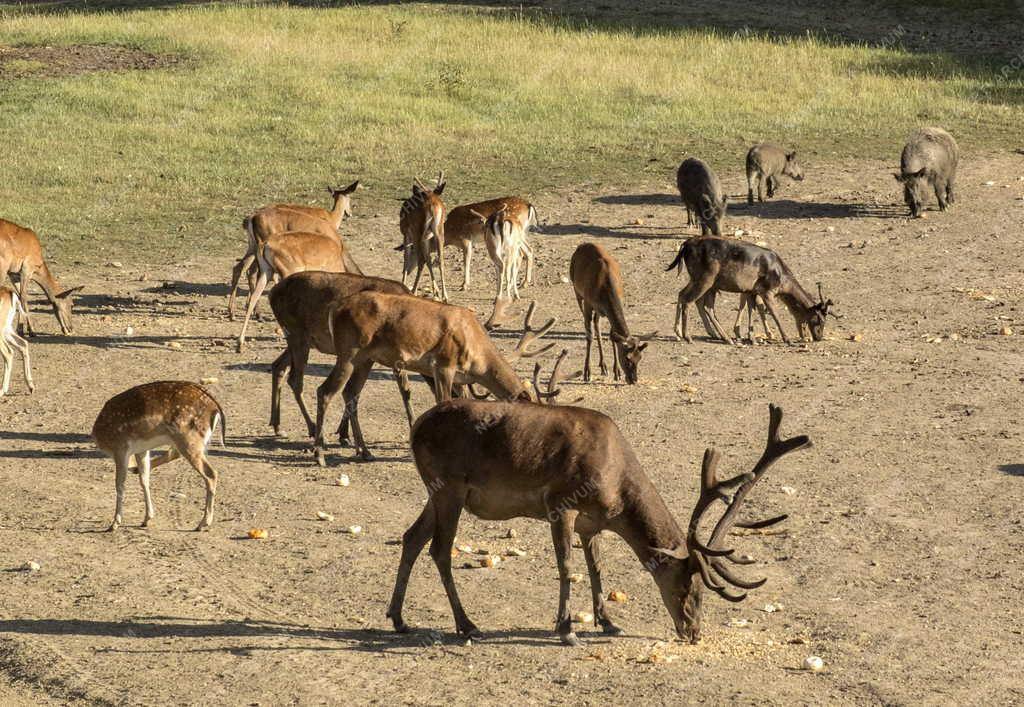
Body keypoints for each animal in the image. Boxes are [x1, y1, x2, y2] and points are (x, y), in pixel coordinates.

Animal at [92, 379, 226, 528]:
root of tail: (214, 407)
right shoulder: (141, 449)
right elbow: (144, 480)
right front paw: (147, 519)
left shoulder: (120, 448)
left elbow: (120, 484)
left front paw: (114, 524)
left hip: (189, 439)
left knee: (210, 473)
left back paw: (203, 523)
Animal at [227, 180, 360, 317]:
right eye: (350, 197)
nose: (349, 213)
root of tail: (252, 217)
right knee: (255, 272)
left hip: (253, 248)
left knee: (241, 268)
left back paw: (235, 311)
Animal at [387, 401, 811, 643]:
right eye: (689, 587)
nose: (693, 633)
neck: (615, 490)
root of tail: (415, 426)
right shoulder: (560, 503)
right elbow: (567, 567)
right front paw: (567, 629)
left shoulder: (592, 524)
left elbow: (597, 568)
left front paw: (608, 622)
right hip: (450, 488)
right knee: (440, 549)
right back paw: (467, 624)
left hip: (437, 492)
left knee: (411, 537)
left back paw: (399, 618)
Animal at [569, 243, 655, 385]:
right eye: (627, 358)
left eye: (640, 358)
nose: (633, 380)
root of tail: (580, 246)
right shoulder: (588, 303)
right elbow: (589, 336)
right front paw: (587, 373)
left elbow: (612, 336)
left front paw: (617, 372)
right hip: (577, 292)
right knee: (590, 326)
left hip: (599, 311)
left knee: (597, 325)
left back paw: (603, 366)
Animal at [663, 236, 831, 344]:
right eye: (819, 319)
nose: (818, 337)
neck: (783, 279)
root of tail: (685, 245)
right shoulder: (767, 291)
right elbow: (774, 313)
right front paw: (787, 339)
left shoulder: (751, 291)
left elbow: (752, 309)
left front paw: (752, 337)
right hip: (705, 279)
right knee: (691, 301)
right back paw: (689, 336)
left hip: (701, 280)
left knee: (687, 297)